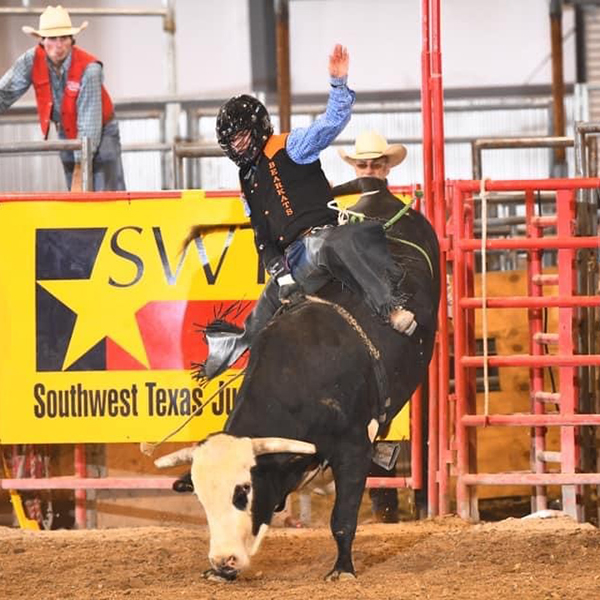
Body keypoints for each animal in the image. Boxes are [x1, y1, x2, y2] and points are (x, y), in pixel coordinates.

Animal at [154, 179, 440, 580]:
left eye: (242, 492)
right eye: (202, 499)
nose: (224, 562)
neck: (300, 379)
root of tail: (379, 193)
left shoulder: (353, 448)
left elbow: (342, 519)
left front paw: (342, 570)